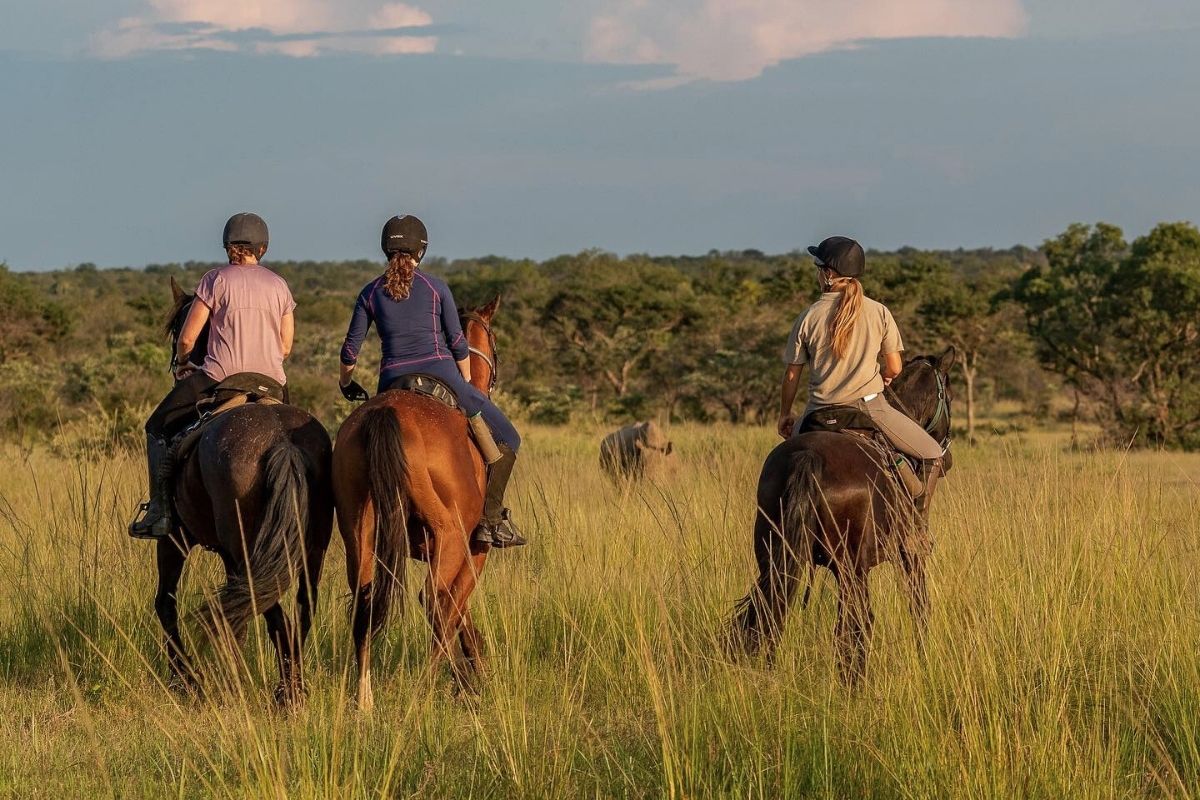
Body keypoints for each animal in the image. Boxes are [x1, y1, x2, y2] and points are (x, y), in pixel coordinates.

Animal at [152, 276, 335, 705]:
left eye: (178, 328)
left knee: (262, 611)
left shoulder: (174, 538)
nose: (178, 364)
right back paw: (291, 687)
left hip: (244, 549)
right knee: (299, 608)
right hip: (308, 544)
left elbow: (165, 601)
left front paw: (184, 678)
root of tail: (281, 438)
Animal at [331, 295, 502, 710]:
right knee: (433, 601)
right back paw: (426, 689)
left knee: (365, 602)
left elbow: (461, 612)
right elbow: (457, 605)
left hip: (358, 534)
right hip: (450, 534)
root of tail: (385, 413)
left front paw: (472, 667)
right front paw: (472, 674)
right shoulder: (474, 550)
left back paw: (365, 699)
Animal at [731, 348, 956, 686]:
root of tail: (807, 458)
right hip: (852, 570)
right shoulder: (909, 555)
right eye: (950, 395)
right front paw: (924, 657)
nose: (948, 458)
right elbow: (919, 607)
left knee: (768, 615)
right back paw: (856, 685)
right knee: (854, 626)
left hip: (773, 554)